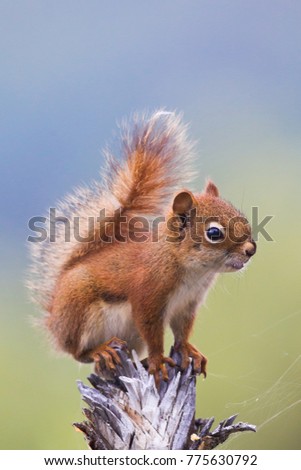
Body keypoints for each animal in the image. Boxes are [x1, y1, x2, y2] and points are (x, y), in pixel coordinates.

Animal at [27, 109, 255, 386]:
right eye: (214, 233)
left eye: (241, 215)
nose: (251, 249)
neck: (191, 270)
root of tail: (53, 321)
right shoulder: (148, 295)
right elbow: (153, 332)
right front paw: (158, 362)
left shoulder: (187, 304)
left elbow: (182, 332)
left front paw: (188, 351)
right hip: (78, 311)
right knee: (78, 353)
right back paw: (101, 350)